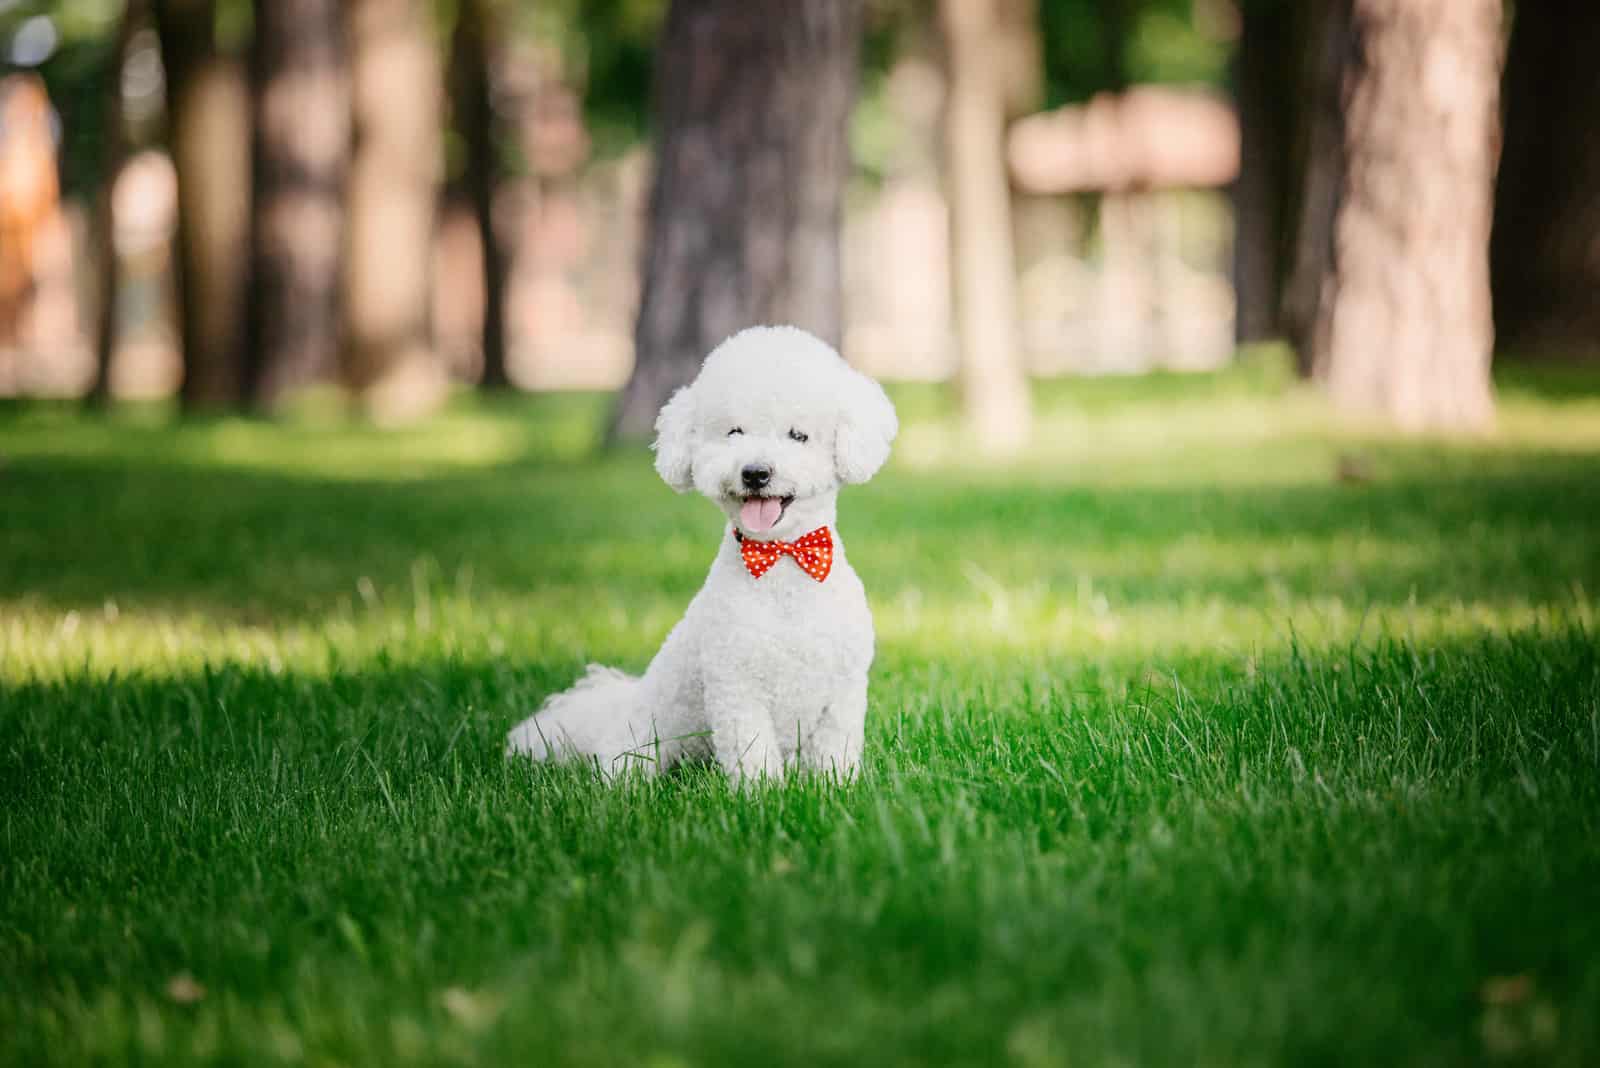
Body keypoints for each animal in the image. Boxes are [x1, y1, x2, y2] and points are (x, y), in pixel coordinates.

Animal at [505, 326, 896, 783]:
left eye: (798, 435)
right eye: (734, 432)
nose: (756, 472)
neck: (782, 563)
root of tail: (617, 707)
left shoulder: (843, 691)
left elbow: (834, 751)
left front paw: (834, 786)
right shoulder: (736, 688)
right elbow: (753, 753)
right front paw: (763, 792)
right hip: (642, 741)